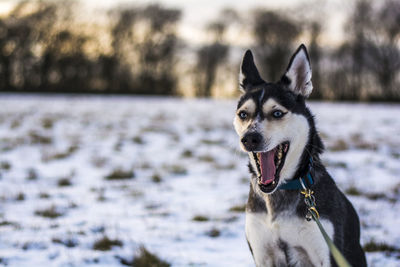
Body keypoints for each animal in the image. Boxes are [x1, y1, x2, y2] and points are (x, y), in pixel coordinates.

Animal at [233, 45, 368, 266]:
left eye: (277, 113)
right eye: (243, 114)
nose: (249, 138)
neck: (281, 190)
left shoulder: (326, 252)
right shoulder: (263, 253)